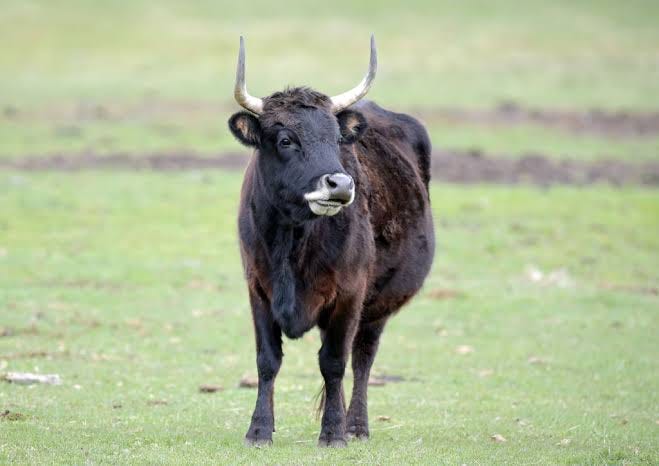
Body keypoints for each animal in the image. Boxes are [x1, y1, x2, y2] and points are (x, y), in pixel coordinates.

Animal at [229, 35, 436, 444]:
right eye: (285, 139)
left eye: (337, 138)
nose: (340, 184)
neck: (292, 242)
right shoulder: (257, 287)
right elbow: (267, 360)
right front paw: (259, 429)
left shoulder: (350, 294)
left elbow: (334, 362)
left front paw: (333, 432)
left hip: (377, 308)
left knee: (362, 359)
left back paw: (355, 425)